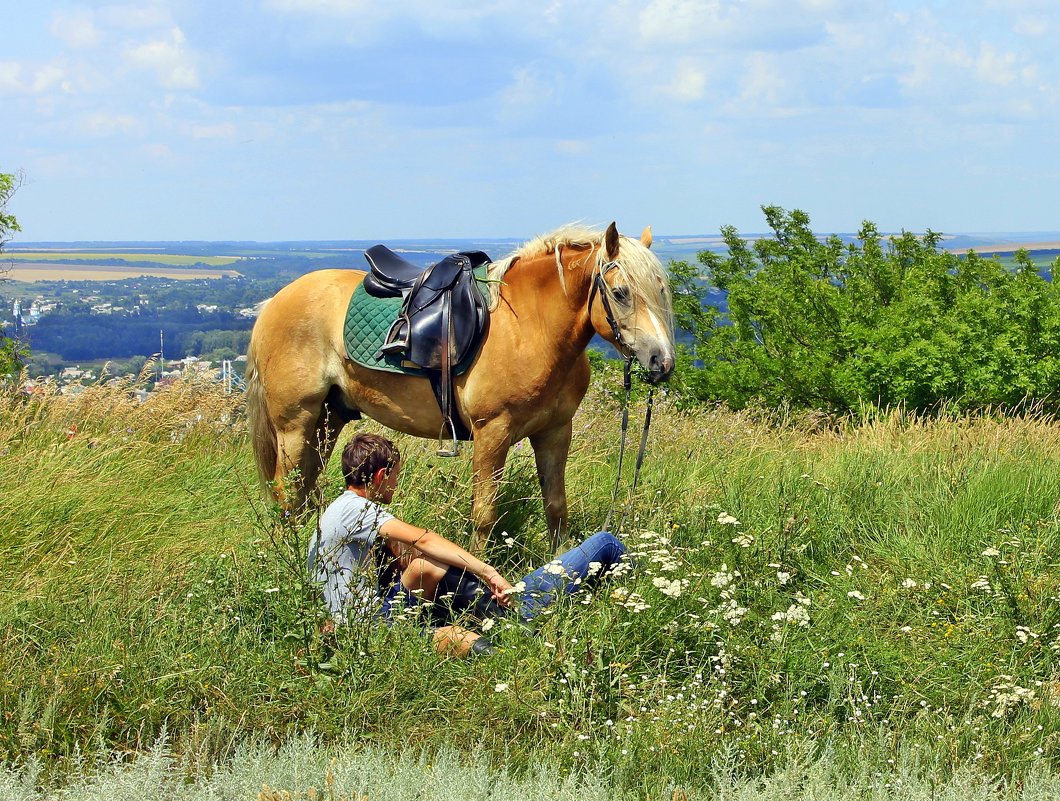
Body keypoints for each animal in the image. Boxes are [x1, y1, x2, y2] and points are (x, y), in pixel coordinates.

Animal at [246, 222, 674, 555]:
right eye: (620, 292)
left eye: (661, 292)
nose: (662, 362)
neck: (530, 328)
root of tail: (273, 303)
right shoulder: (493, 433)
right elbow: (484, 514)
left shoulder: (555, 431)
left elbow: (555, 506)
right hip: (295, 422)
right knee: (286, 490)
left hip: (328, 420)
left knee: (305, 489)